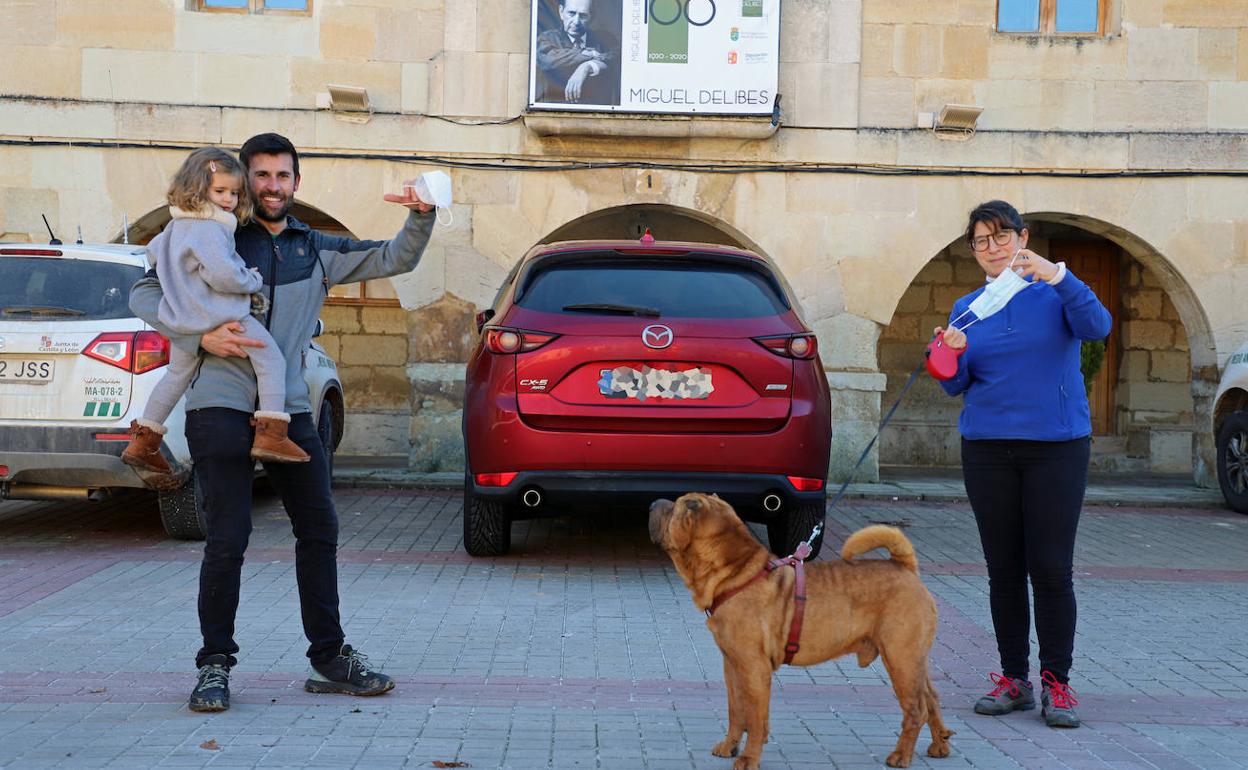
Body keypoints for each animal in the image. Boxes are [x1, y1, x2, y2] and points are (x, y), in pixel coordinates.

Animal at [648, 496, 948, 763]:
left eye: (675, 507)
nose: (652, 503)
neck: (734, 573)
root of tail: (906, 567)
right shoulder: (732, 664)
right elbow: (736, 711)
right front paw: (729, 746)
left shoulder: (754, 667)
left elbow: (755, 718)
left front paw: (748, 758)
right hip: (912, 660)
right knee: (931, 697)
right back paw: (940, 744)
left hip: (900, 658)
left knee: (916, 709)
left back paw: (900, 756)